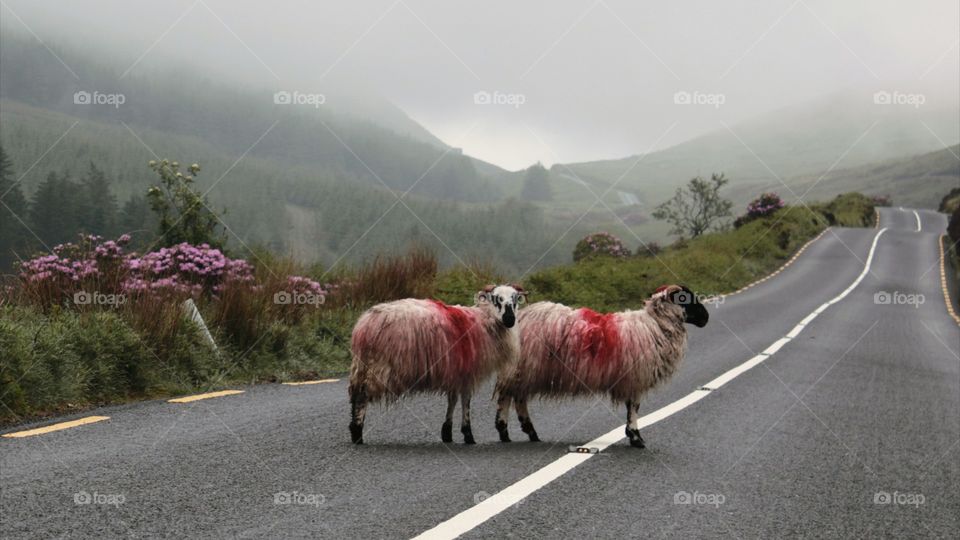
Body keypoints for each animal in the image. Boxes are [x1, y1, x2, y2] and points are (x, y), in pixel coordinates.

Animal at [348, 284, 526, 445]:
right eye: (496, 299)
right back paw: (357, 433)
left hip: (362, 366)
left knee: (355, 393)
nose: (510, 320)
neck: (484, 321)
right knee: (362, 395)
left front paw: (447, 432)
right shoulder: (467, 372)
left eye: (515, 299)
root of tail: (365, 325)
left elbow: (452, 400)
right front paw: (468, 434)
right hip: (381, 367)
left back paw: (353, 428)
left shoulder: (456, 371)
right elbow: (465, 401)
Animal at [493, 284, 708, 448]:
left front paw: (632, 435)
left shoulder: (631, 378)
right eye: (686, 298)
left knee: (517, 396)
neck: (655, 326)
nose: (706, 318)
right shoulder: (635, 378)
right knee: (508, 395)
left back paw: (527, 431)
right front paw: (636, 437)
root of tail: (520, 318)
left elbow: (631, 407)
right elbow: (634, 407)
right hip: (524, 367)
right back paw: (505, 429)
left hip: (527, 369)